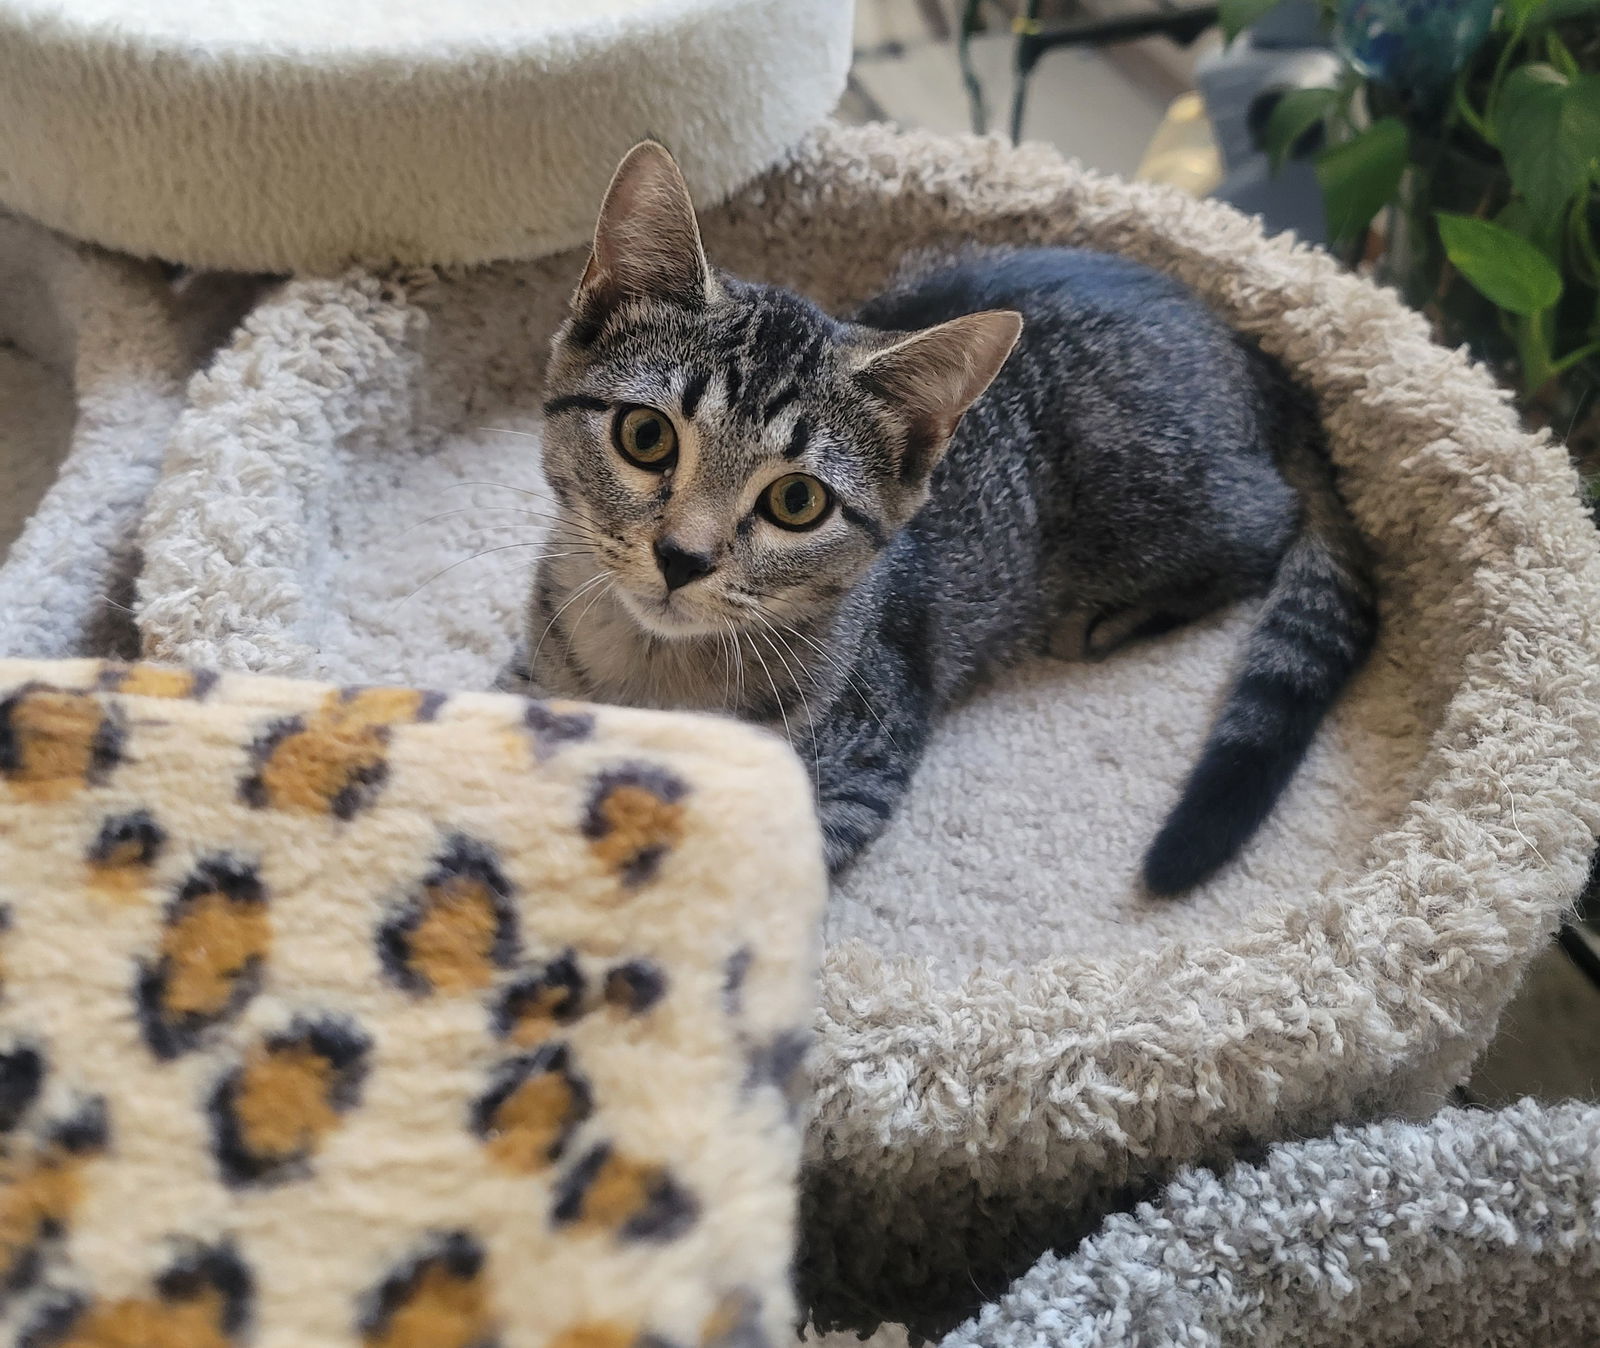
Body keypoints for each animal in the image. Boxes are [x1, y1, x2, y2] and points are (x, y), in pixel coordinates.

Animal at [508, 144, 1376, 890]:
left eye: (797, 502)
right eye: (645, 437)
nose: (683, 557)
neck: (646, 669)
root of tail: (1252, 350)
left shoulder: (864, 758)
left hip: (1149, 494)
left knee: (1269, 521)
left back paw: (1116, 616)